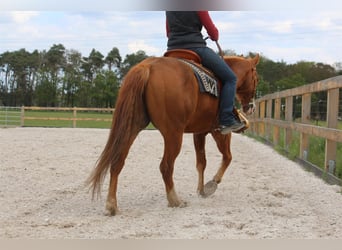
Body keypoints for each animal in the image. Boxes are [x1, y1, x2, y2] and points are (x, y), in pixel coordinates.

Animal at [87, 53, 260, 215]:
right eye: (256, 78)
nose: (251, 107)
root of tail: (148, 66)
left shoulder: (199, 133)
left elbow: (201, 163)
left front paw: (201, 190)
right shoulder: (219, 132)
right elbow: (227, 157)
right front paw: (212, 183)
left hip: (132, 127)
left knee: (117, 162)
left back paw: (112, 205)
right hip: (174, 134)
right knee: (166, 166)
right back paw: (175, 200)